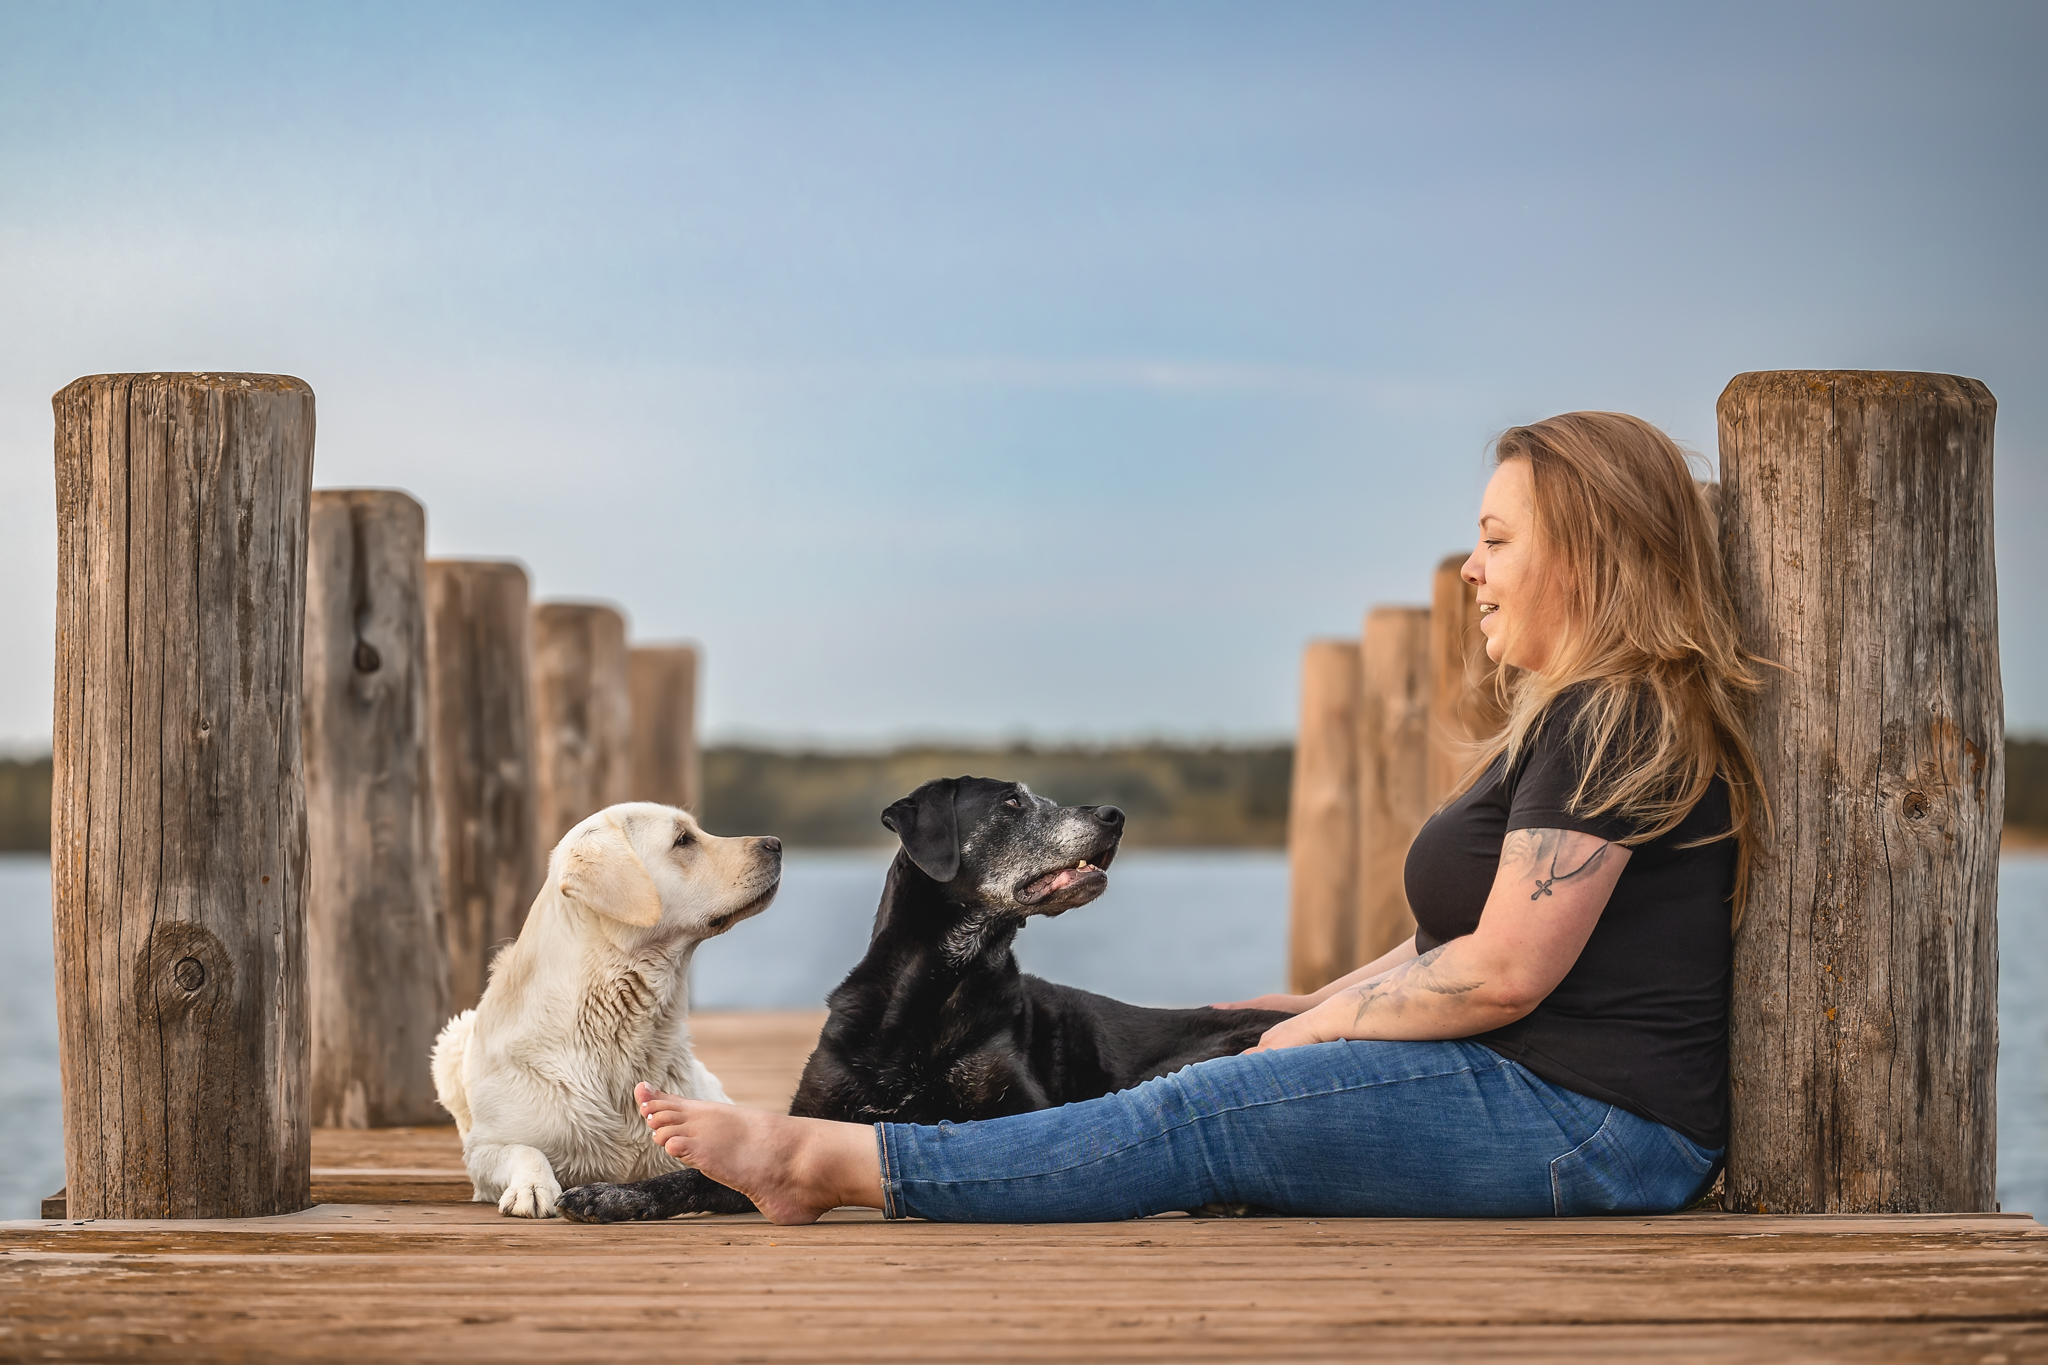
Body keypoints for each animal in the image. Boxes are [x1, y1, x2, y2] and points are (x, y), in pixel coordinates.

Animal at [428, 802, 778, 1219]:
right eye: (683, 840)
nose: (776, 843)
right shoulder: (483, 1149)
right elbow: (524, 1150)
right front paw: (532, 1186)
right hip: (451, 1041)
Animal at [557, 777, 1294, 1227]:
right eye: (1013, 804)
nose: (1114, 815)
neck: (932, 988)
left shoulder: (1024, 1107)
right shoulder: (819, 1109)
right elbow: (687, 1177)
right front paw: (612, 1194)